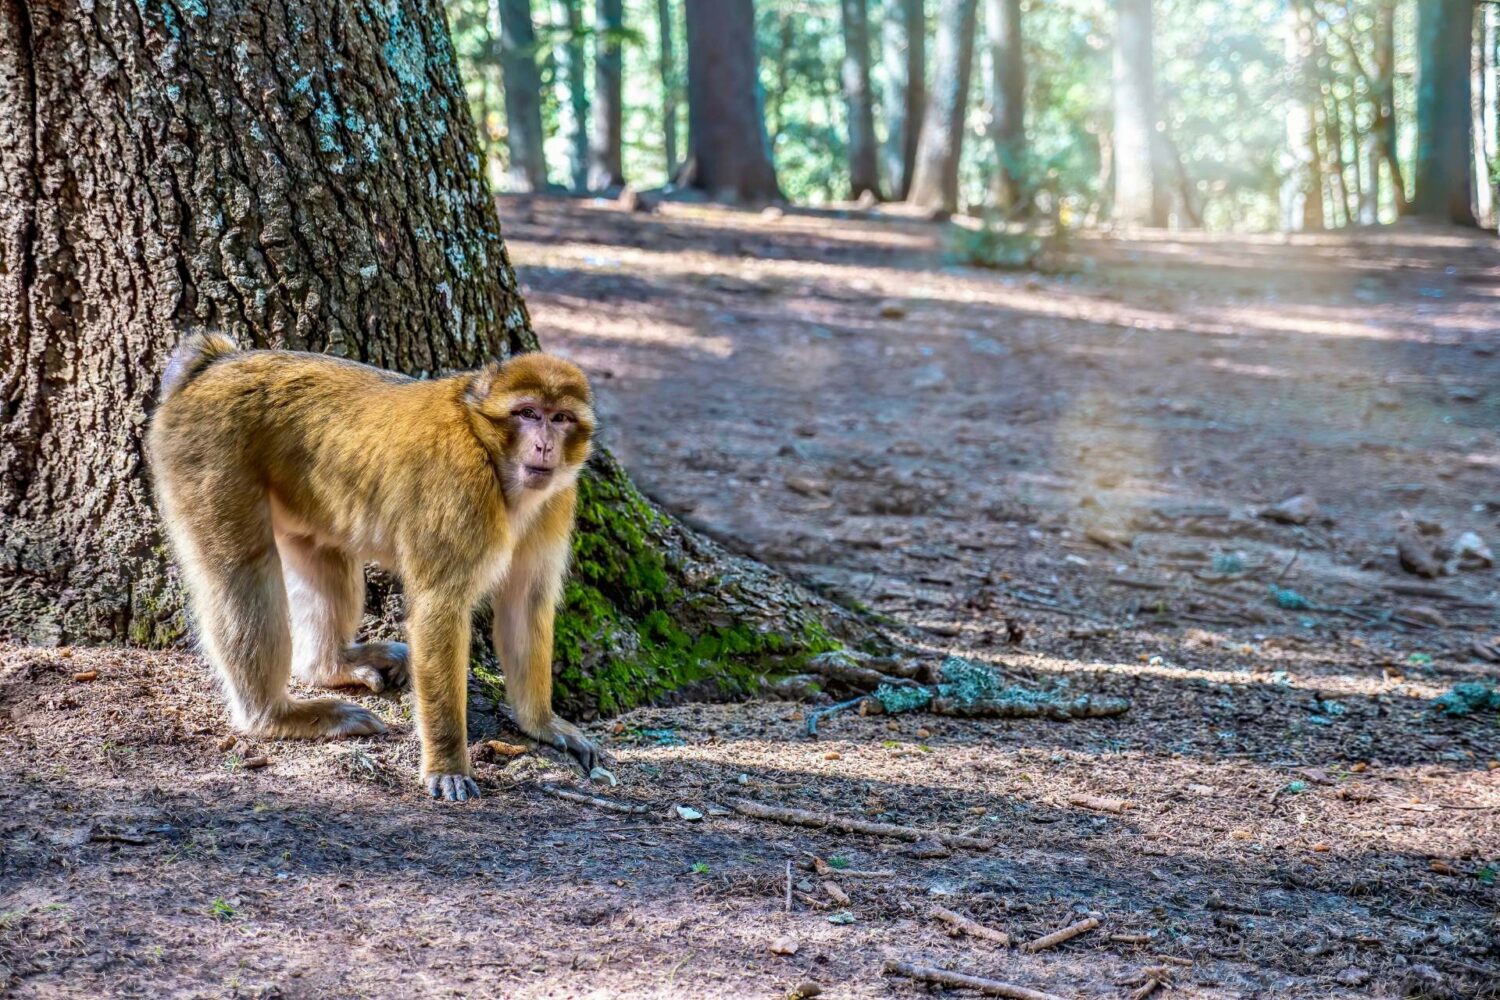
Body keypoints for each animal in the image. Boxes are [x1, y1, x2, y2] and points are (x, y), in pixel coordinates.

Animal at [147, 332, 603, 803]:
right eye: (528, 413)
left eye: (561, 418)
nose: (545, 445)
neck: (491, 454)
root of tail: (215, 364)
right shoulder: (460, 491)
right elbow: (440, 609)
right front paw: (447, 764)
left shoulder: (556, 499)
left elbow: (526, 603)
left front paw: (541, 723)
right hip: (208, 455)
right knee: (243, 574)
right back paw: (272, 715)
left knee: (321, 552)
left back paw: (330, 667)